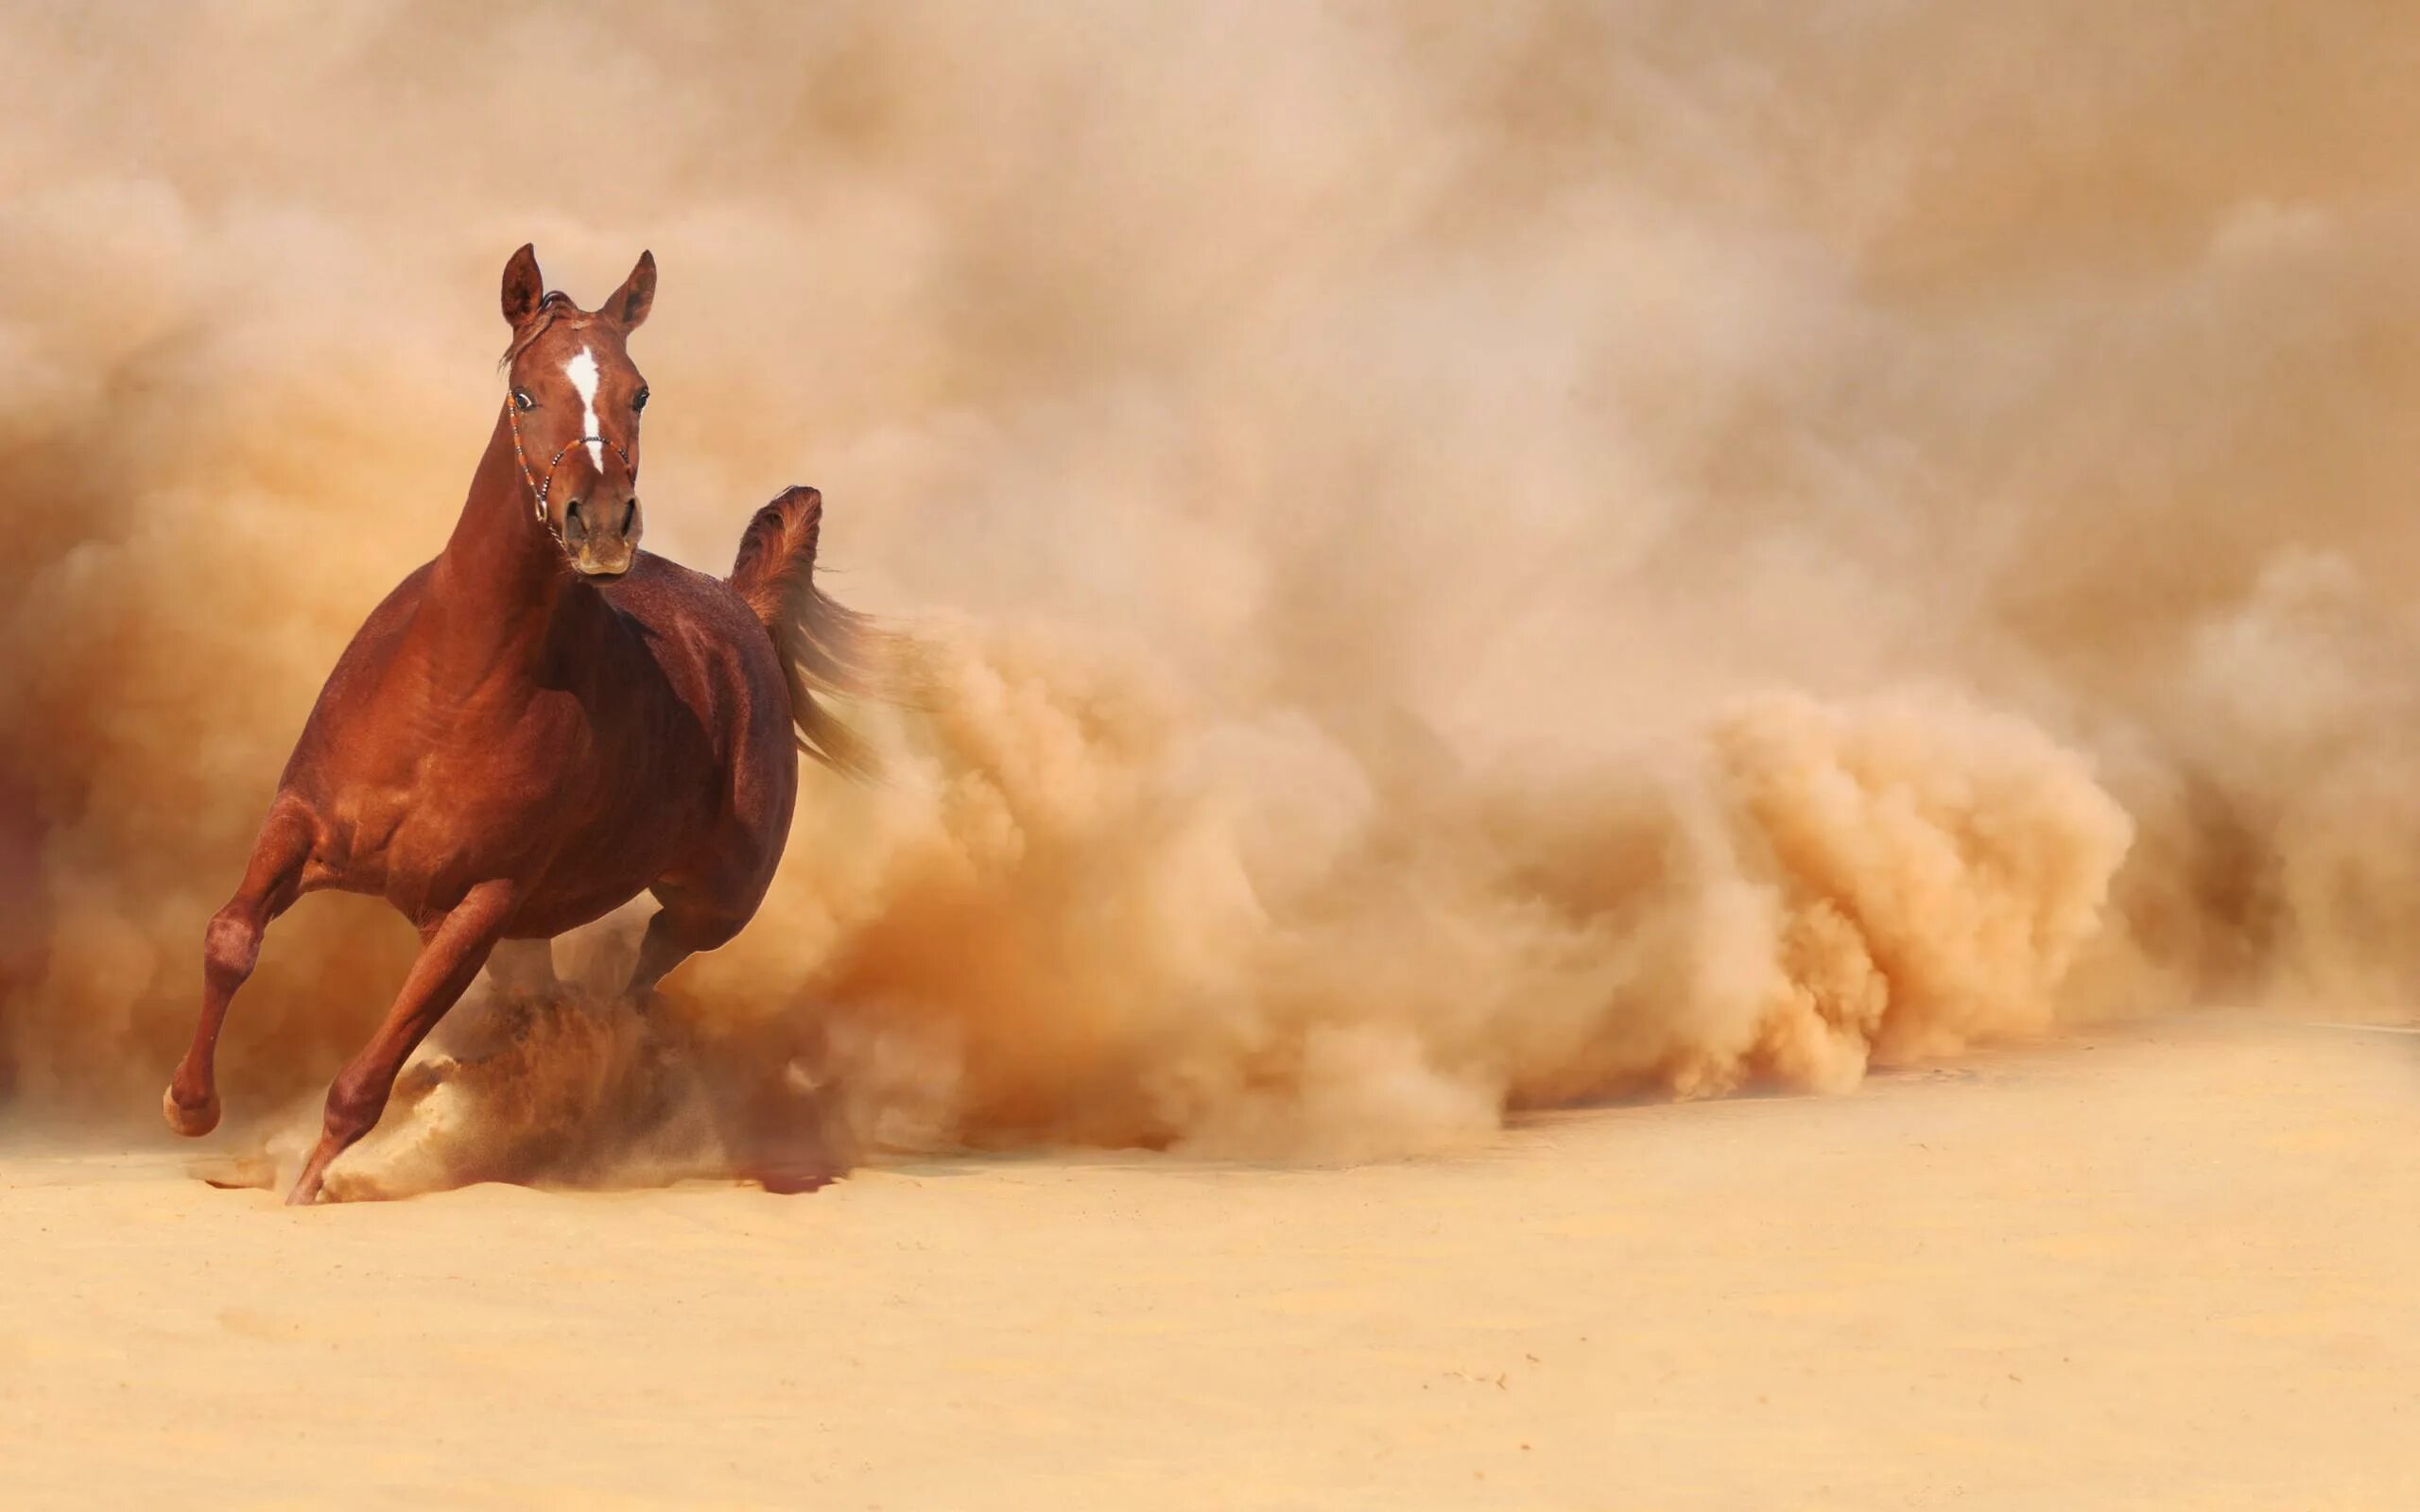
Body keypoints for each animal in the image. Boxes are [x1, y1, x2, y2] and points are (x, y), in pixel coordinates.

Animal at [163, 244, 880, 1204]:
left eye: (638, 392)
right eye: (528, 393)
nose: (602, 525)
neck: (450, 692)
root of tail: (742, 607)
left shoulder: (480, 903)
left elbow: (370, 1073)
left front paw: (308, 1183)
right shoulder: (301, 820)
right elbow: (231, 939)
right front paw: (189, 1105)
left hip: (711, 903)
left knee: (636, 983)